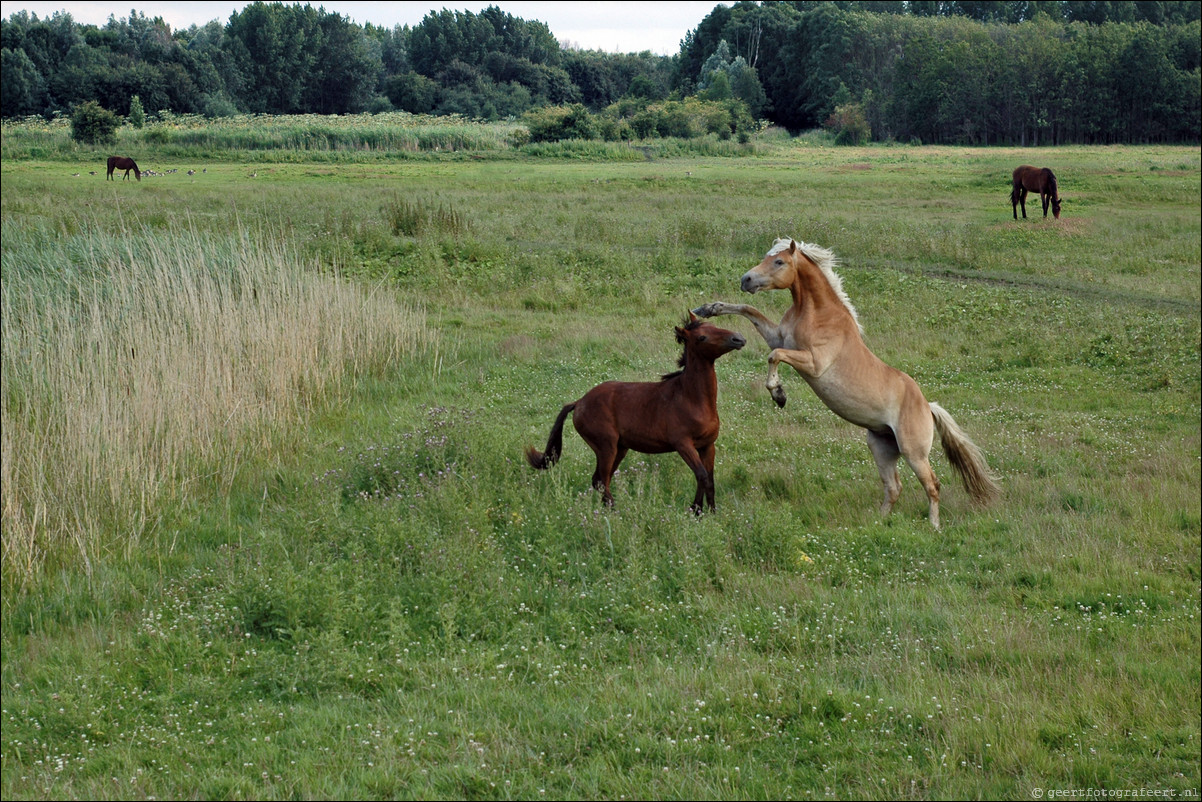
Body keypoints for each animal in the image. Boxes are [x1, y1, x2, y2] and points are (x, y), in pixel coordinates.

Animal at [524, 312, 740, 514]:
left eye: (714, 325)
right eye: (702, 337)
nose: (738, 338)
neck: (691, 398)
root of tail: (579, 403)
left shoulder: (707, 446)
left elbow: (709, 479)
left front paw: (709, 513)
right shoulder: (683, 444)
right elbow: (702, 475)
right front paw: (695, 510)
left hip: (620, 448)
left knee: (602, 479)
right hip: (606, 447)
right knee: (600, 480)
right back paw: (615, 512)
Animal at [692, 238, 1000, 526]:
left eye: (779, 262)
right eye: (766, 257)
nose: (746, 279)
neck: (817, 314)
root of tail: (927, 405)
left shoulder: (812, 363)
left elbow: (774, 355)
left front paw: (778, 394)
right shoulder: (778, 336)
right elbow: (749, 311)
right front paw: (708, 308)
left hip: (914, 453)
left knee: (933, 485)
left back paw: (933, 526)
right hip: (882, 447)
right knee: (894, 487)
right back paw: (879, 521)